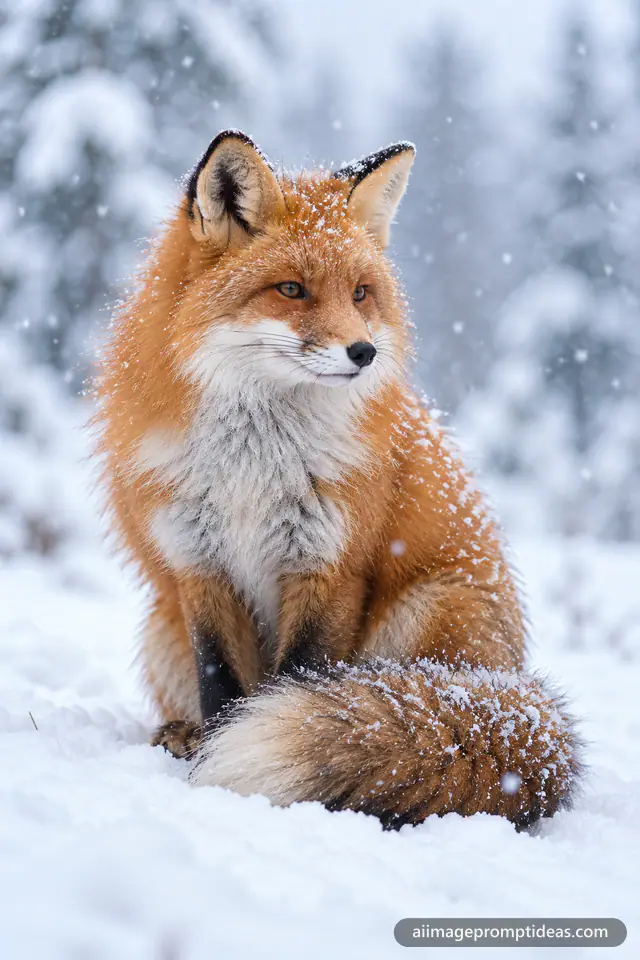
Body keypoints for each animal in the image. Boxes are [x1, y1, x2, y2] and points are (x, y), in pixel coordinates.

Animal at [96, 129, 581, 829]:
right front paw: (211, 754)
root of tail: (510, 691)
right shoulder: (197, 565)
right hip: (161, 627)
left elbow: (298, 680)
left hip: (427, 612)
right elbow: (221, 683)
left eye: (359, 293)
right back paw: (181, 735)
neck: (254, 465)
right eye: (291, 289)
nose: (365, 353)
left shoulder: (330, 564)